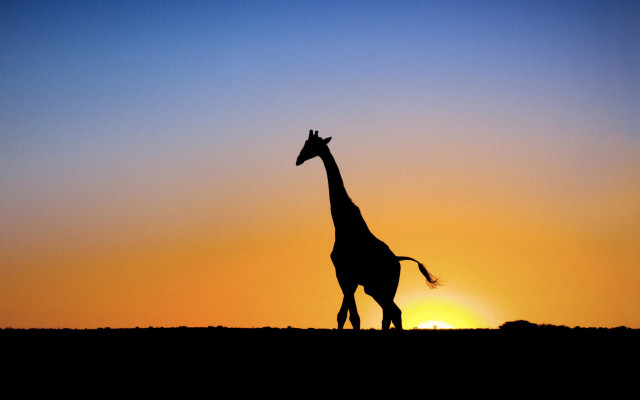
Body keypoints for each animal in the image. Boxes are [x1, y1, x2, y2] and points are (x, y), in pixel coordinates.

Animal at [296, 130, 438, 330]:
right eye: (305, 143)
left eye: (311, 145)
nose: (298, 159)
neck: (343, 223)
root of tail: (397, 260)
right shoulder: (348, 277)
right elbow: (345, 315)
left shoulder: (345, 274)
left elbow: (351, 316)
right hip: (375, 288)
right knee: (393, 313)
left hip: (384, 286)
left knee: (391, 313)